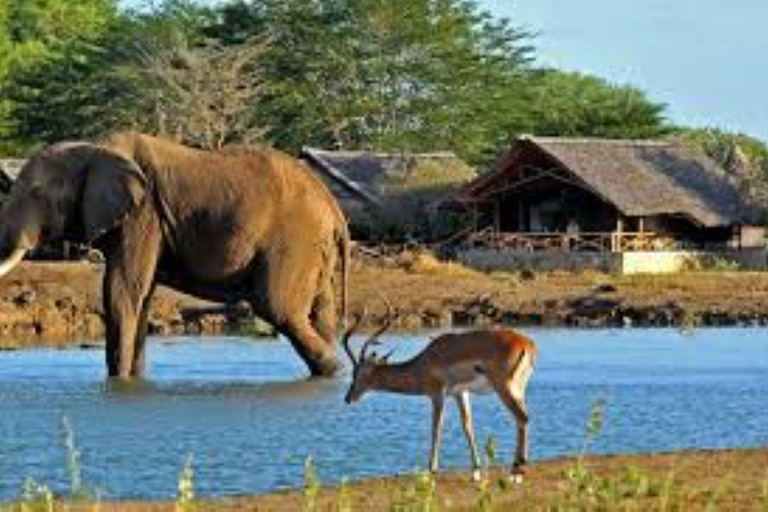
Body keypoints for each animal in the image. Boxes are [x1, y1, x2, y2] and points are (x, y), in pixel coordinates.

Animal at [0, 132, 352, 378]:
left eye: (36, 193)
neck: (94, 149)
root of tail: (334, 208)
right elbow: (140, 297)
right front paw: (132, 379)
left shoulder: (142, 215)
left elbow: (121, 292)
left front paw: (118, 382)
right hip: (315, 249)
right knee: (321, 311)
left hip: (294, 241)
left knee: (277, 307)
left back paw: (335, 369)